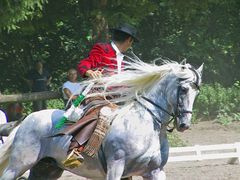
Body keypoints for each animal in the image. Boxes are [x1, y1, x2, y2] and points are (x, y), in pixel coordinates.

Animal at [0, 59, 202, 180]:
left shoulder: (155, 171)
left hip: (47, 168)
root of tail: (26, 121)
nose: (184, 124)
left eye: (196, 92)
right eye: (184, 89)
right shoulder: (116, 167)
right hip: (20, 164)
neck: (145, 126)